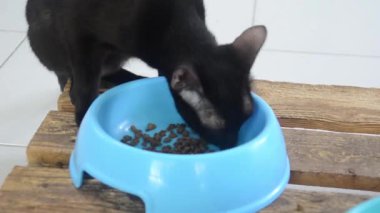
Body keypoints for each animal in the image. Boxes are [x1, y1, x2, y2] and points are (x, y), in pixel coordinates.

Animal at [26, 0, 268, 150]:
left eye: (247, 115)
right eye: (217, 125)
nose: (231, 144)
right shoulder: (79, 34)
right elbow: (84, 86)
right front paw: (84, 118)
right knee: (69, 77)